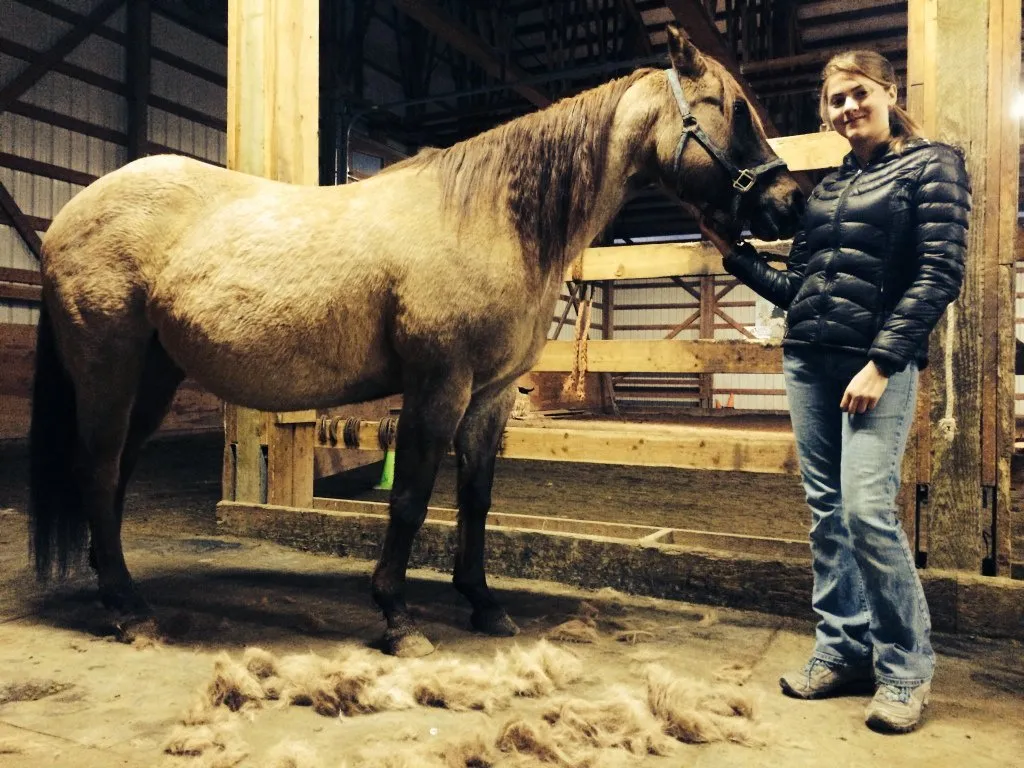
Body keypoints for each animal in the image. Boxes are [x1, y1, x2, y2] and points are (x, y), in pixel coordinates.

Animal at [29, 27, 803, 657]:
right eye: (733, 109)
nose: (788, 203)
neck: (488, 217)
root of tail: (69, 214)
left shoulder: (491, 395)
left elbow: (475, 497)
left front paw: (484, 604)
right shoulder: (440, 384)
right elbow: (412, 497)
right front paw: (398, 617)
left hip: (154, 376)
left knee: (116, 473)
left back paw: (117, 593)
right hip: (109, 369)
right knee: (98, 470)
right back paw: (129, 612)